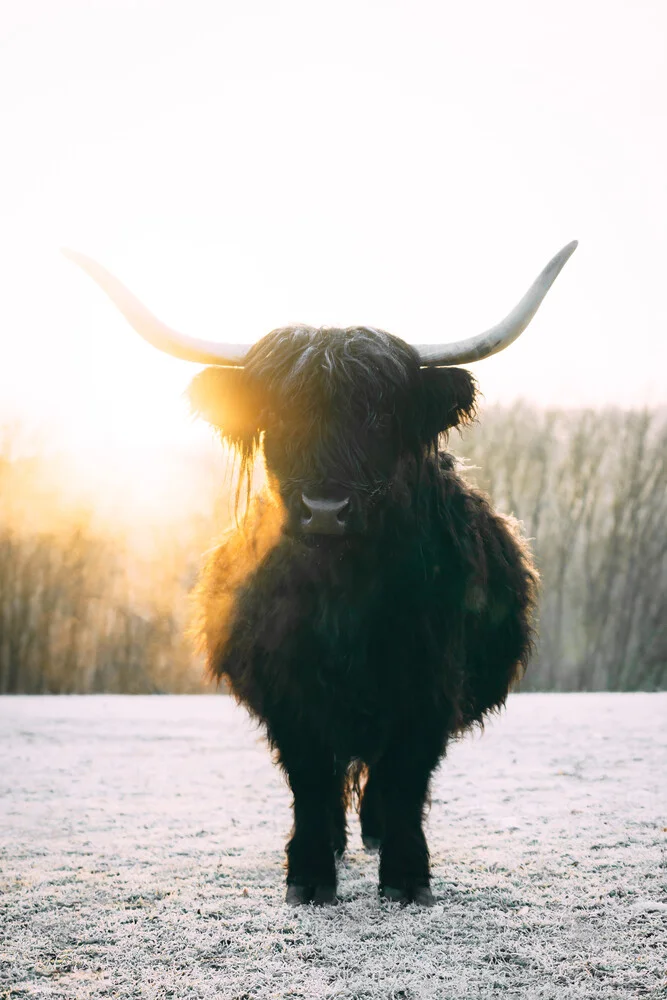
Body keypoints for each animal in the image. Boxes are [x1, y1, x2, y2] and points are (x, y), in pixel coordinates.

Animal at [66, 240, 580, 908]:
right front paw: (309, 876)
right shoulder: (288, 687)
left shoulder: (430, 684)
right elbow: (310, 777)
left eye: (381, 415)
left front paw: (407, 878)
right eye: (279, 413)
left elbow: (405, 776)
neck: (345, 595)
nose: (326, 509)